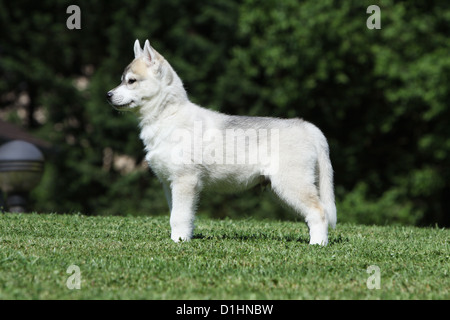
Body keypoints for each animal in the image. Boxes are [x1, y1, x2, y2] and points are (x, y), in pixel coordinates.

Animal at [107, 40, 336, 245]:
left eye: (131, 81)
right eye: (121, 80)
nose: (108, 95)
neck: (168, 115)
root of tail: (308, 127)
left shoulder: (185, 181)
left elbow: (179, 217)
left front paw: (178, 242)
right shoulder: (169, 184)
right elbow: (178, 215)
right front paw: (182, 238)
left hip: (290, 184)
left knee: (319, 212)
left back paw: (318, 244)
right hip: (280, 188)